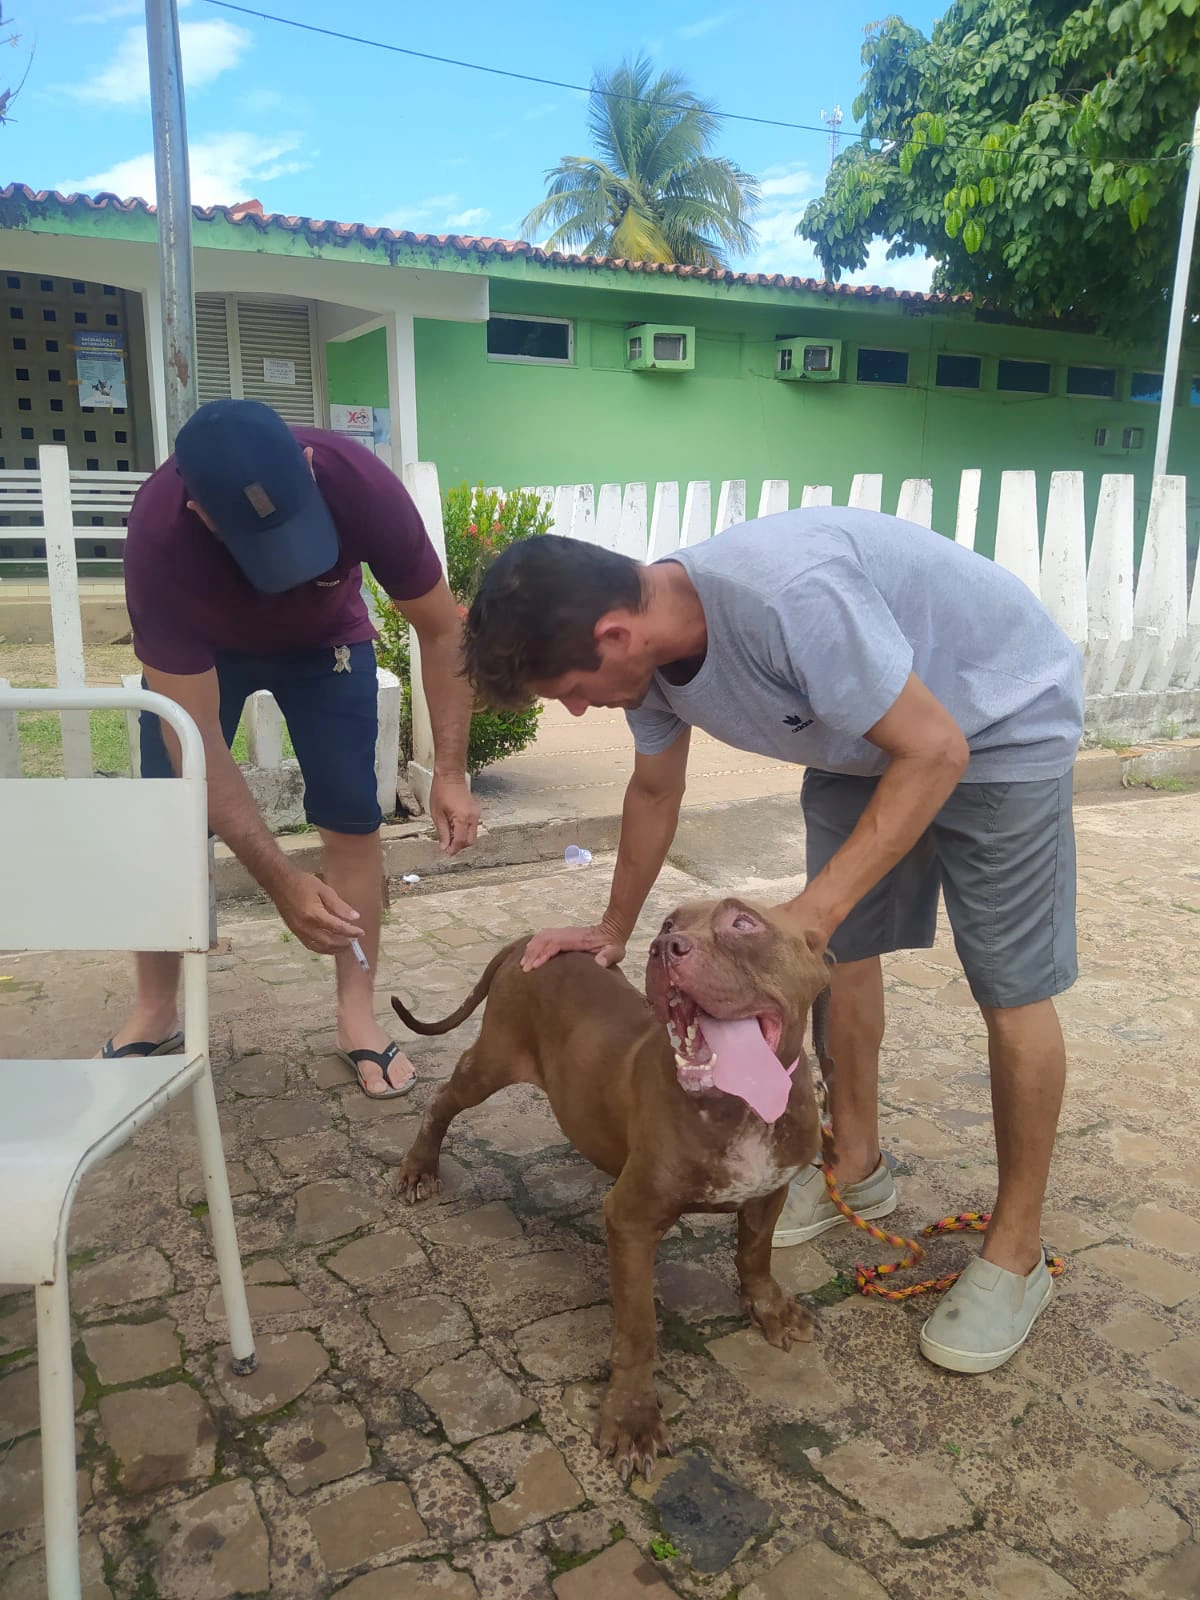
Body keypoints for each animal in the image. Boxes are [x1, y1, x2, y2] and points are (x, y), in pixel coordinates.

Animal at [395, 896, 838, 1478]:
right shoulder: (631, 1221)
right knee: (442, 1099)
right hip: (490, 1062)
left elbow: (755, 1254)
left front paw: (769, 1309)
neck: (738, 1107)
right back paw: (419, 1167)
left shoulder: (770, 1191)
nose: (665, 946)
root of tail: (528, 941)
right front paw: (632, 1417)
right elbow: (638, 1329)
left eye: (743, 923)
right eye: (669, 923)